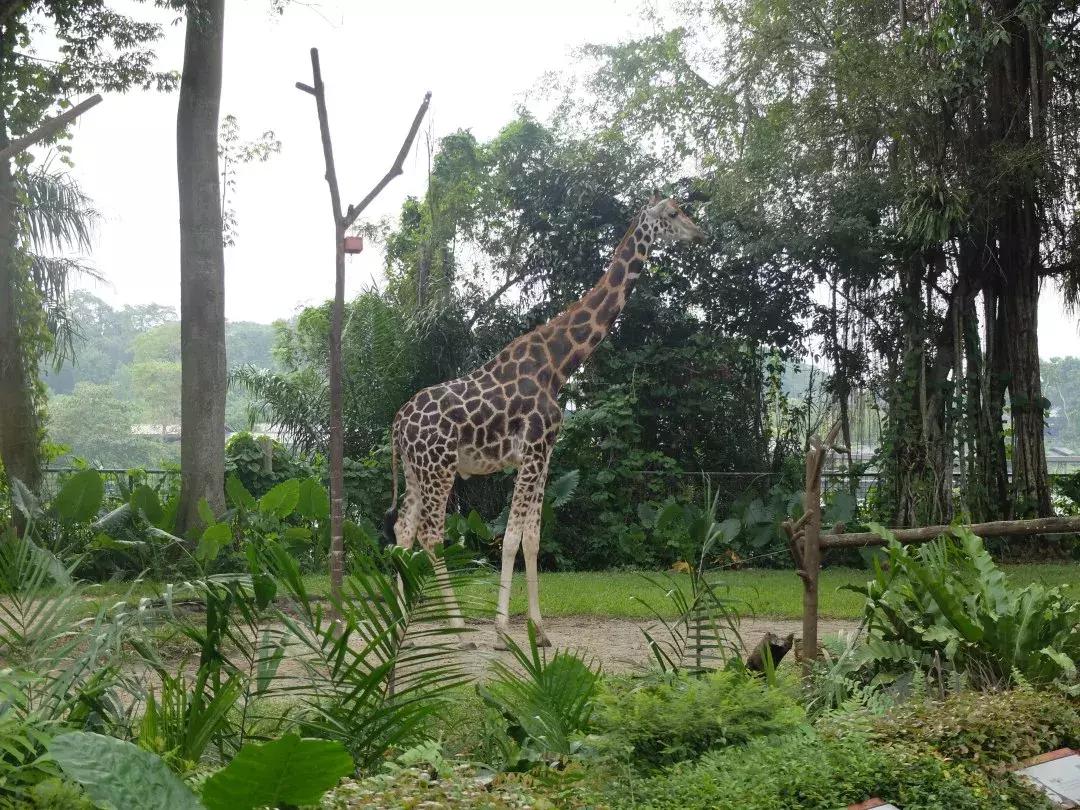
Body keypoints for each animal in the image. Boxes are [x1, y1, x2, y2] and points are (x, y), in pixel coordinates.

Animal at [384, 193, 704, 652]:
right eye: (674, 214)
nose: (702, 234)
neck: (560, 364)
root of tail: (397, 423)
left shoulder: (545, 456)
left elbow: (533, 539)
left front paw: (540, 629)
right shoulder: (534, 451)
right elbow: (511, 538)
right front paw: (502, 631)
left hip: (415, 470)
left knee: (404, 529)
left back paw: (401, 628)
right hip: (439, 468)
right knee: (430, 534)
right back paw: (458, 629)